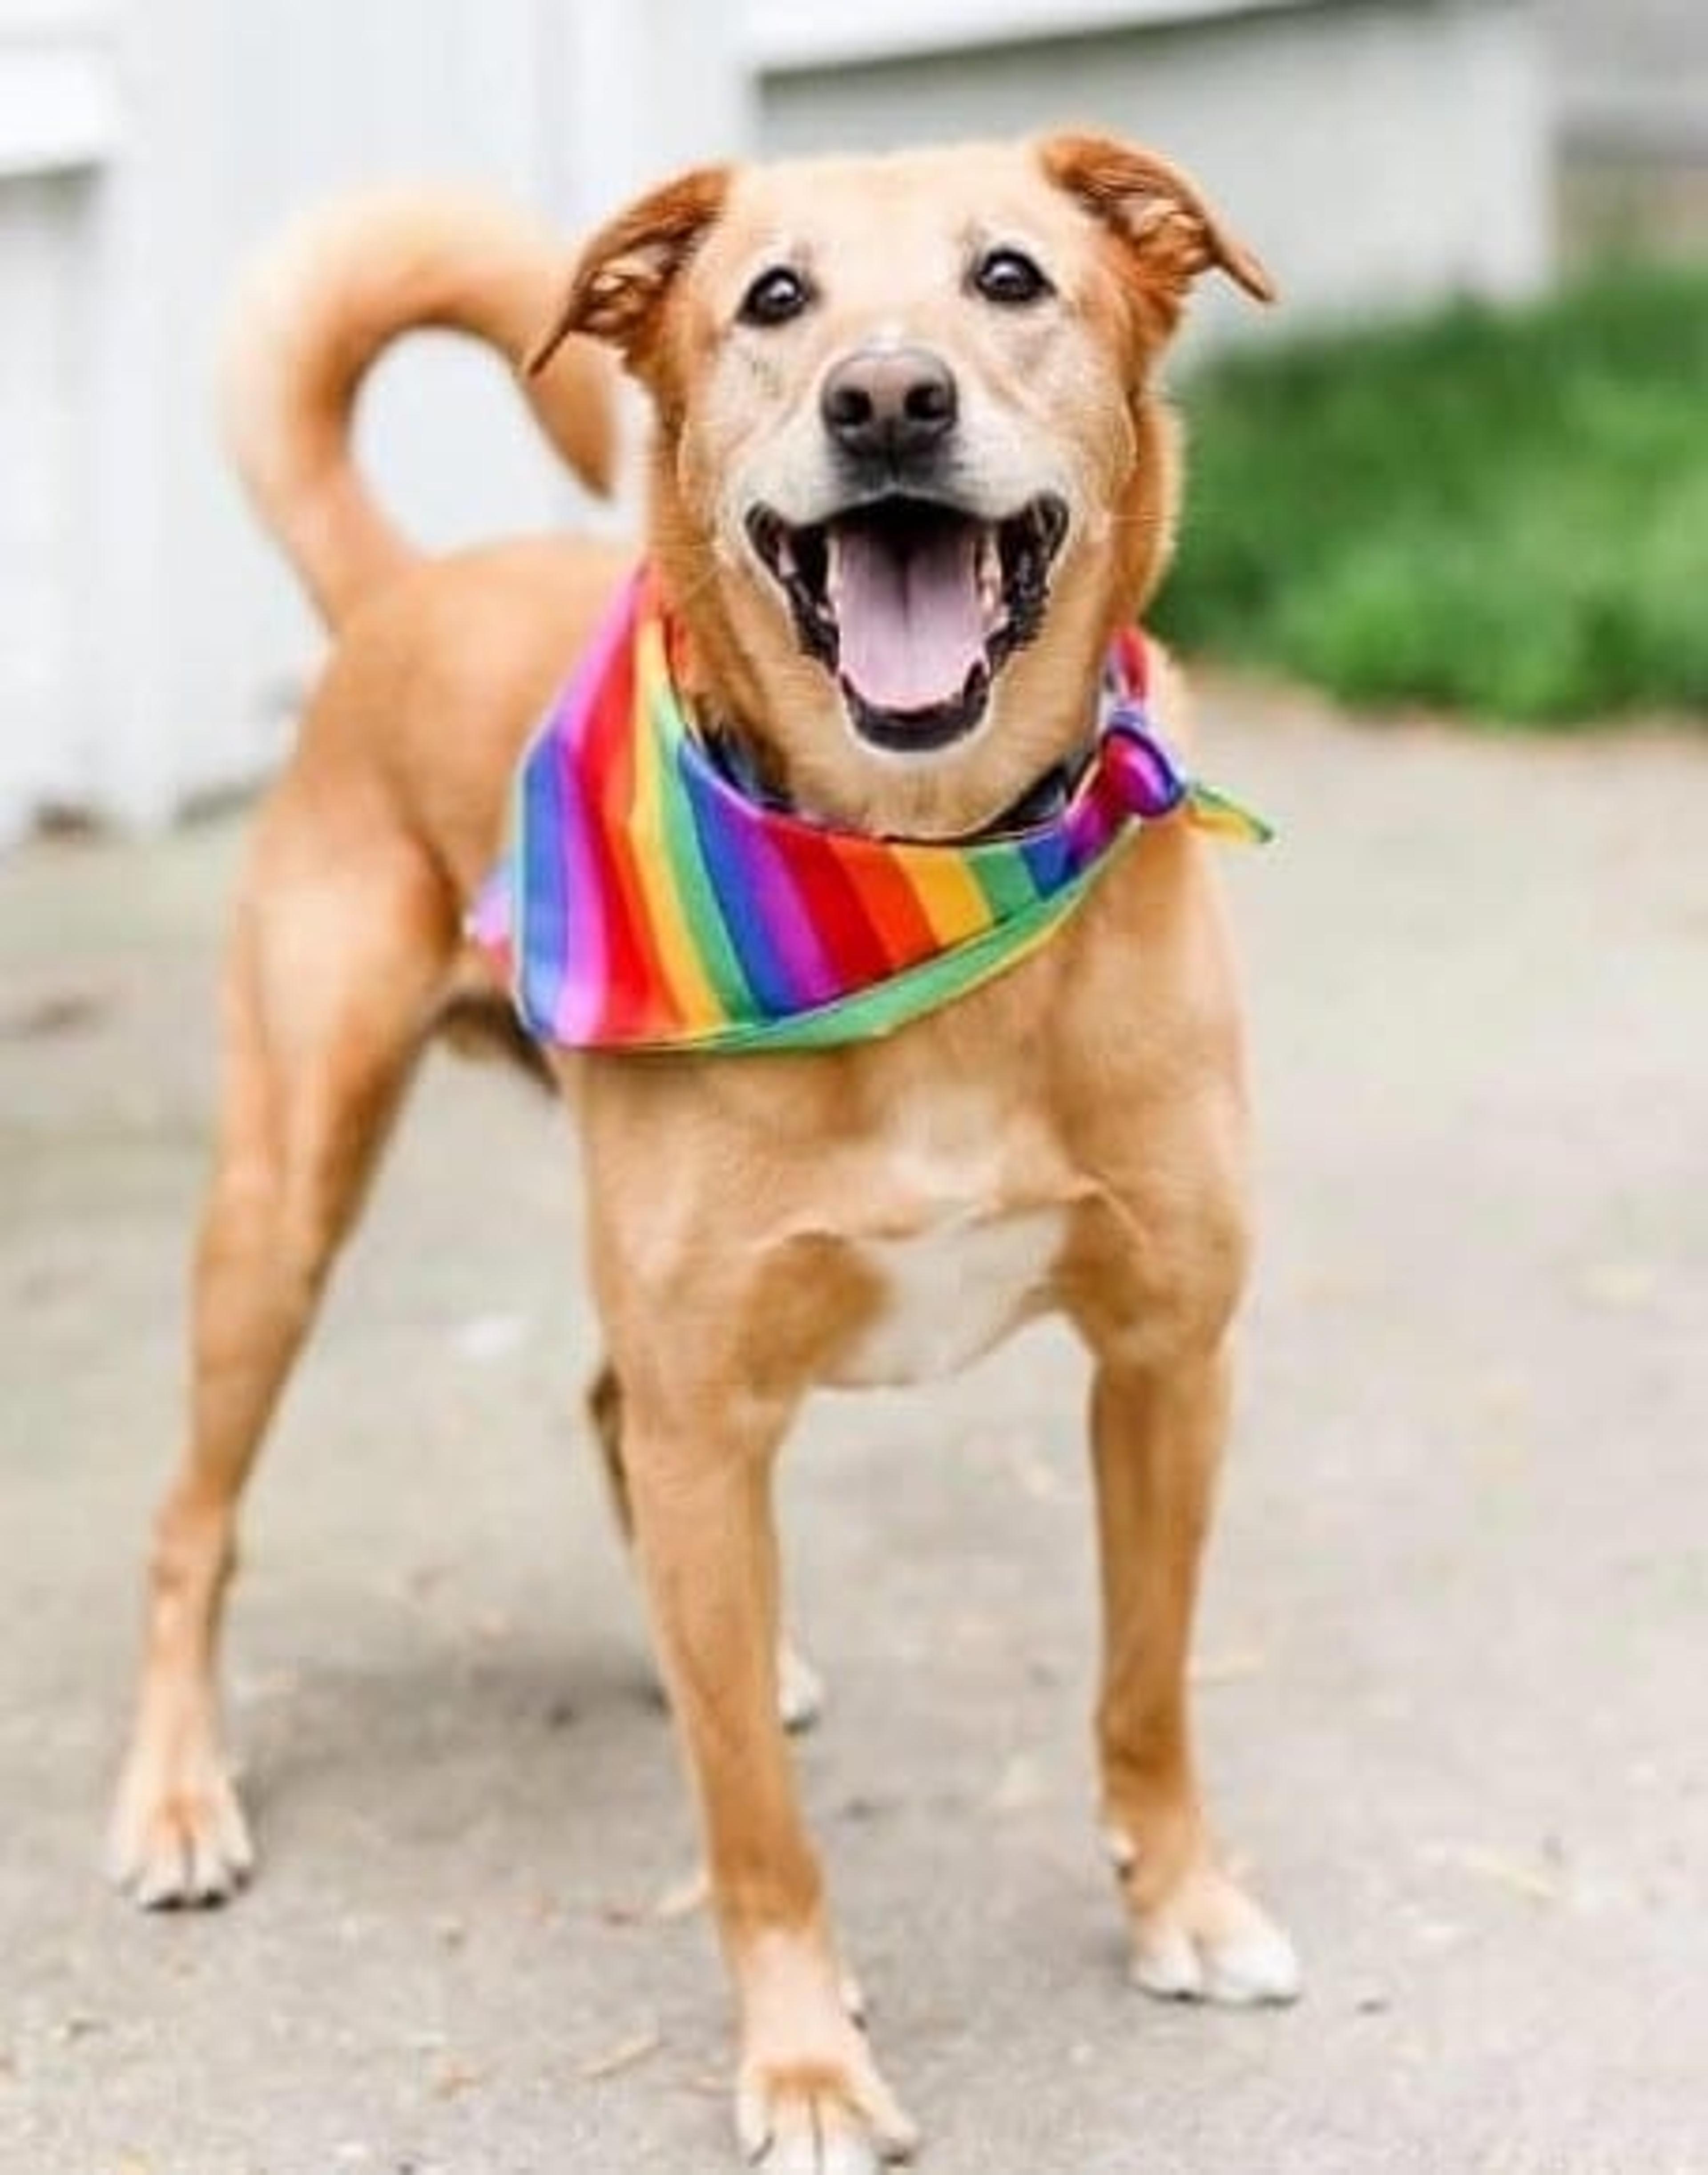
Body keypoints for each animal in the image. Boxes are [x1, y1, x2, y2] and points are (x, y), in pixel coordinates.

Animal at [110, 140, 1297, 2175]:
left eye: (1010, 277)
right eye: (773, 299)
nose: (886, 400)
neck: (912, 868)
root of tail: (400, 593)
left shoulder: (1165, 1360)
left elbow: (1145, 1689)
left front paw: (1182, 1901)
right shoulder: (713, 1417)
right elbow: (752, 1825)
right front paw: (805, 2061)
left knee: (602, 1422)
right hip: (284, 1208)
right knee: (198, 1523)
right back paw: (178, 1794)